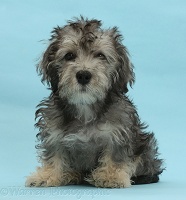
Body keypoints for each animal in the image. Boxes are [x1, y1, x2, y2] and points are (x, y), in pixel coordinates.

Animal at [25, 16, 163, 188]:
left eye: (101, 56)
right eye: (69, 56)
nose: (83, 75)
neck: (85, 108)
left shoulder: (118, 133)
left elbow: (115, 155)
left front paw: (111, 176)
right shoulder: (53, 132)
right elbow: (54, 154)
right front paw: (48, 175)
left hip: (145, 148)